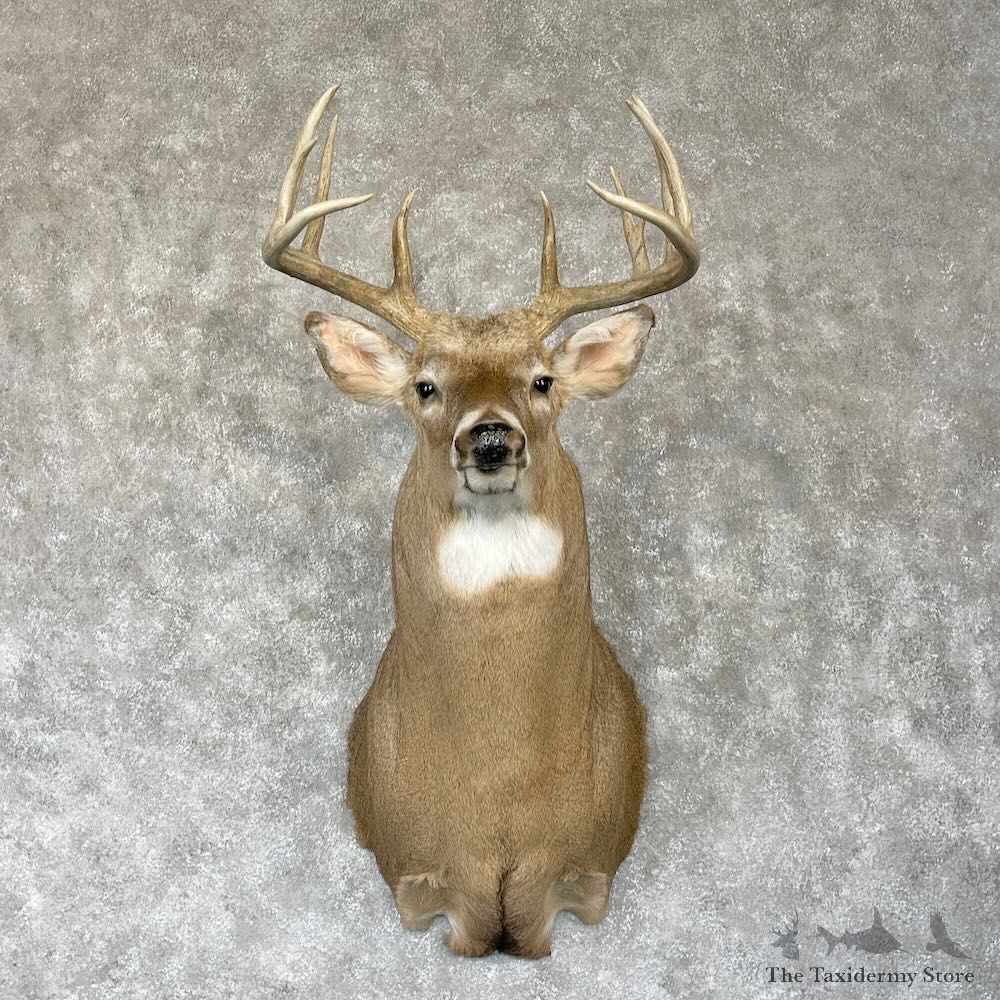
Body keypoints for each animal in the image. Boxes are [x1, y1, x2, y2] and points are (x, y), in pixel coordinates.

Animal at [261, 85, 700, 959]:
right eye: (425, 386)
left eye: (542, 380)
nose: (491, 437)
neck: (498, 797)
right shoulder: (416, 876)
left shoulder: (585, 873)